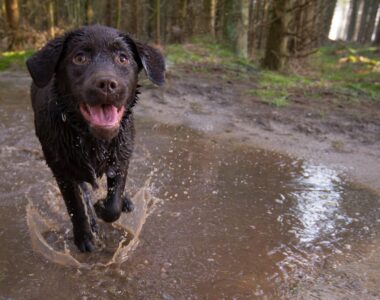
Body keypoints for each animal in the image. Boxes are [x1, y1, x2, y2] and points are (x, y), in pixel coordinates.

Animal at [25, 25, 165, 251]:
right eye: (79, 58)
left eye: (123, 58)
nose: (107, 84)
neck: (91, 140)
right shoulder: (61, 170)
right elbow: (75, 206)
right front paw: (84, 237)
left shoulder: (121, 158)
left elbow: (113, 204)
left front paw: (104, 206)